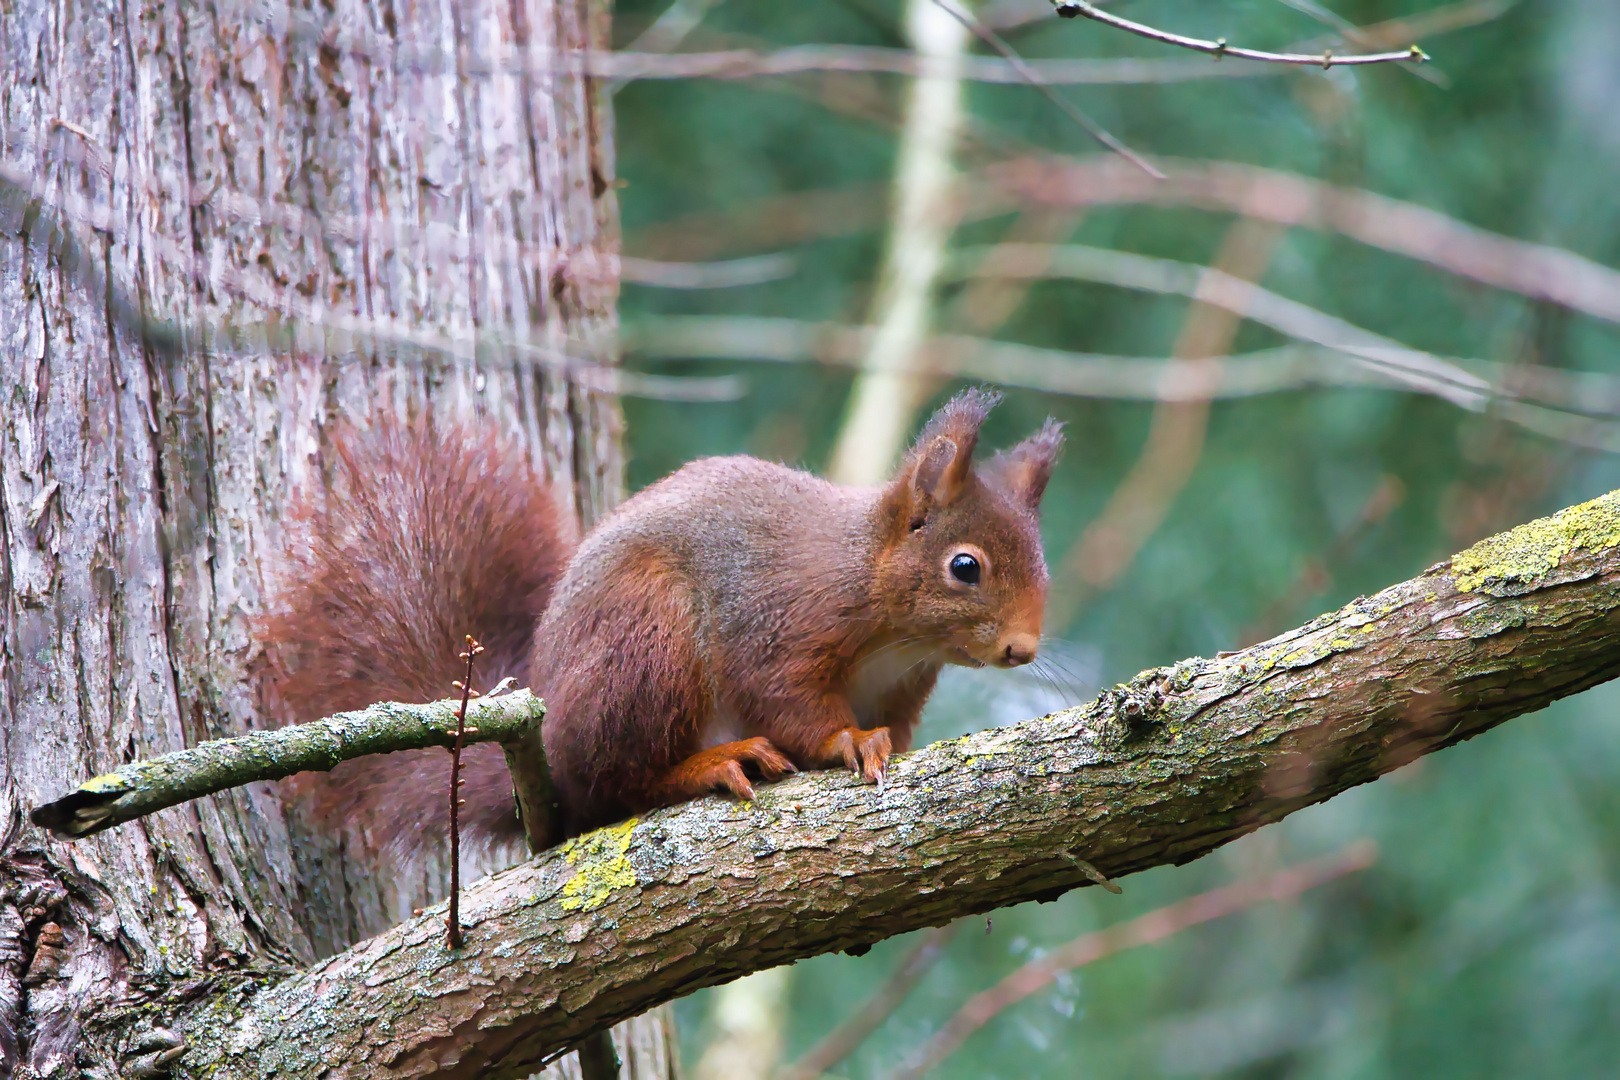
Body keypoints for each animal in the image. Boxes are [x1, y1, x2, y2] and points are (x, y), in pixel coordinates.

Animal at [262, 388, 1062, 854]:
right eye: (966, 567)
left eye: (1042, 562)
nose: (1022, 649)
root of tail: (551, 751)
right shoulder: (779, 623)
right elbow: (789, 699)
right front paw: (849, 741)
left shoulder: (904, 683)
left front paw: (884, 742)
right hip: (648, 645)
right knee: (620, 783)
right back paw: (713, 763)